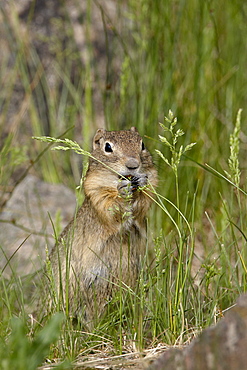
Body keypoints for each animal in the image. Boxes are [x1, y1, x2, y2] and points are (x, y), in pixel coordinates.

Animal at [43, 127, 157, 324]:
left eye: (142, 144)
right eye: (107, 147)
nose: (133, 165)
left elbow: (143, 201)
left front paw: (141, 182)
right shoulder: (97, 193)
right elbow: (112, 208)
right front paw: (123, 190)